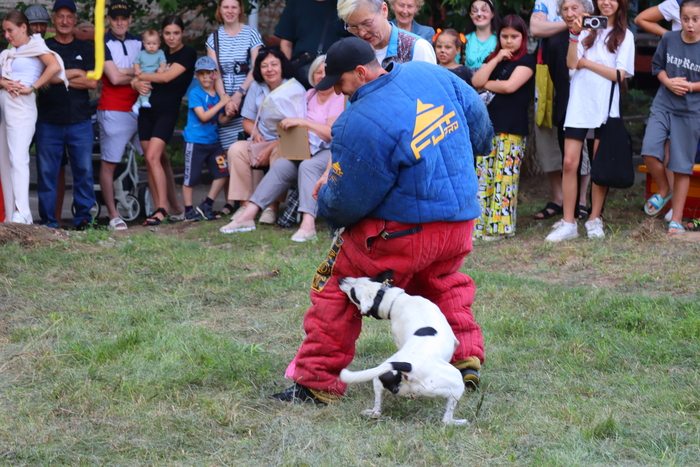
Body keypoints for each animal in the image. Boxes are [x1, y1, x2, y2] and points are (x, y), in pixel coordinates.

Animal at [338, 271, 467, 425]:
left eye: (353, 290)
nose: (340, 279)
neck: (396, 300)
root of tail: (408, 367)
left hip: (379, 376)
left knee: (377, 409)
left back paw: (372, 412)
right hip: (456, 383)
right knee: (446, 419)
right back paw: (459, 422)